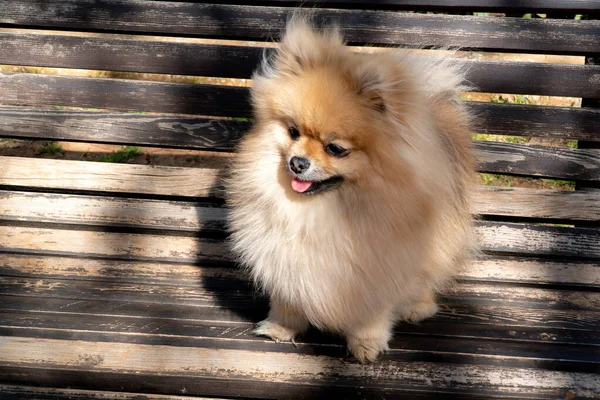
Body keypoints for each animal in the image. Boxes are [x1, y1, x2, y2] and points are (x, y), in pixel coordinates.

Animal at [227, 16, 476, 362]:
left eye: (335, 149)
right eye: (293, 132)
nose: (297, 162)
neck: (323, 210)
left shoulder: (377, 269)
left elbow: (373, 310)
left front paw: (366, 343)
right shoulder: (283, 254)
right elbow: (288, 295)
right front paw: (282, 327)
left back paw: (418, 307)